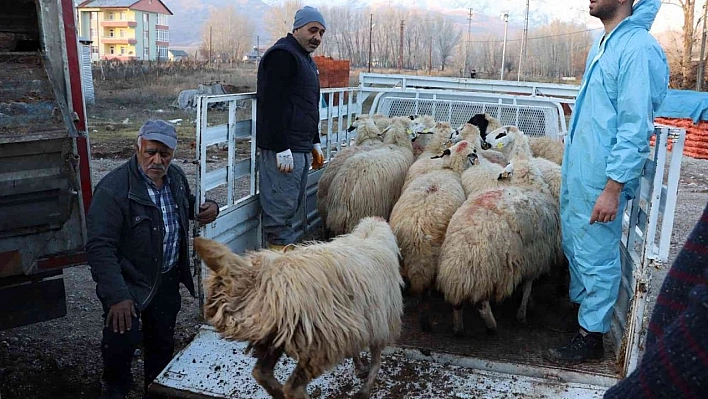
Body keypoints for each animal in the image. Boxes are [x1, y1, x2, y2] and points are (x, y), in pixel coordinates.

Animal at [388, 141, 482, 332]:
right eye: (474, 151)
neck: (449, 170)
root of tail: (415, 234)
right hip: (431, 263)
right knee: (425, 295)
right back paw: (425, 322)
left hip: (403, 261)